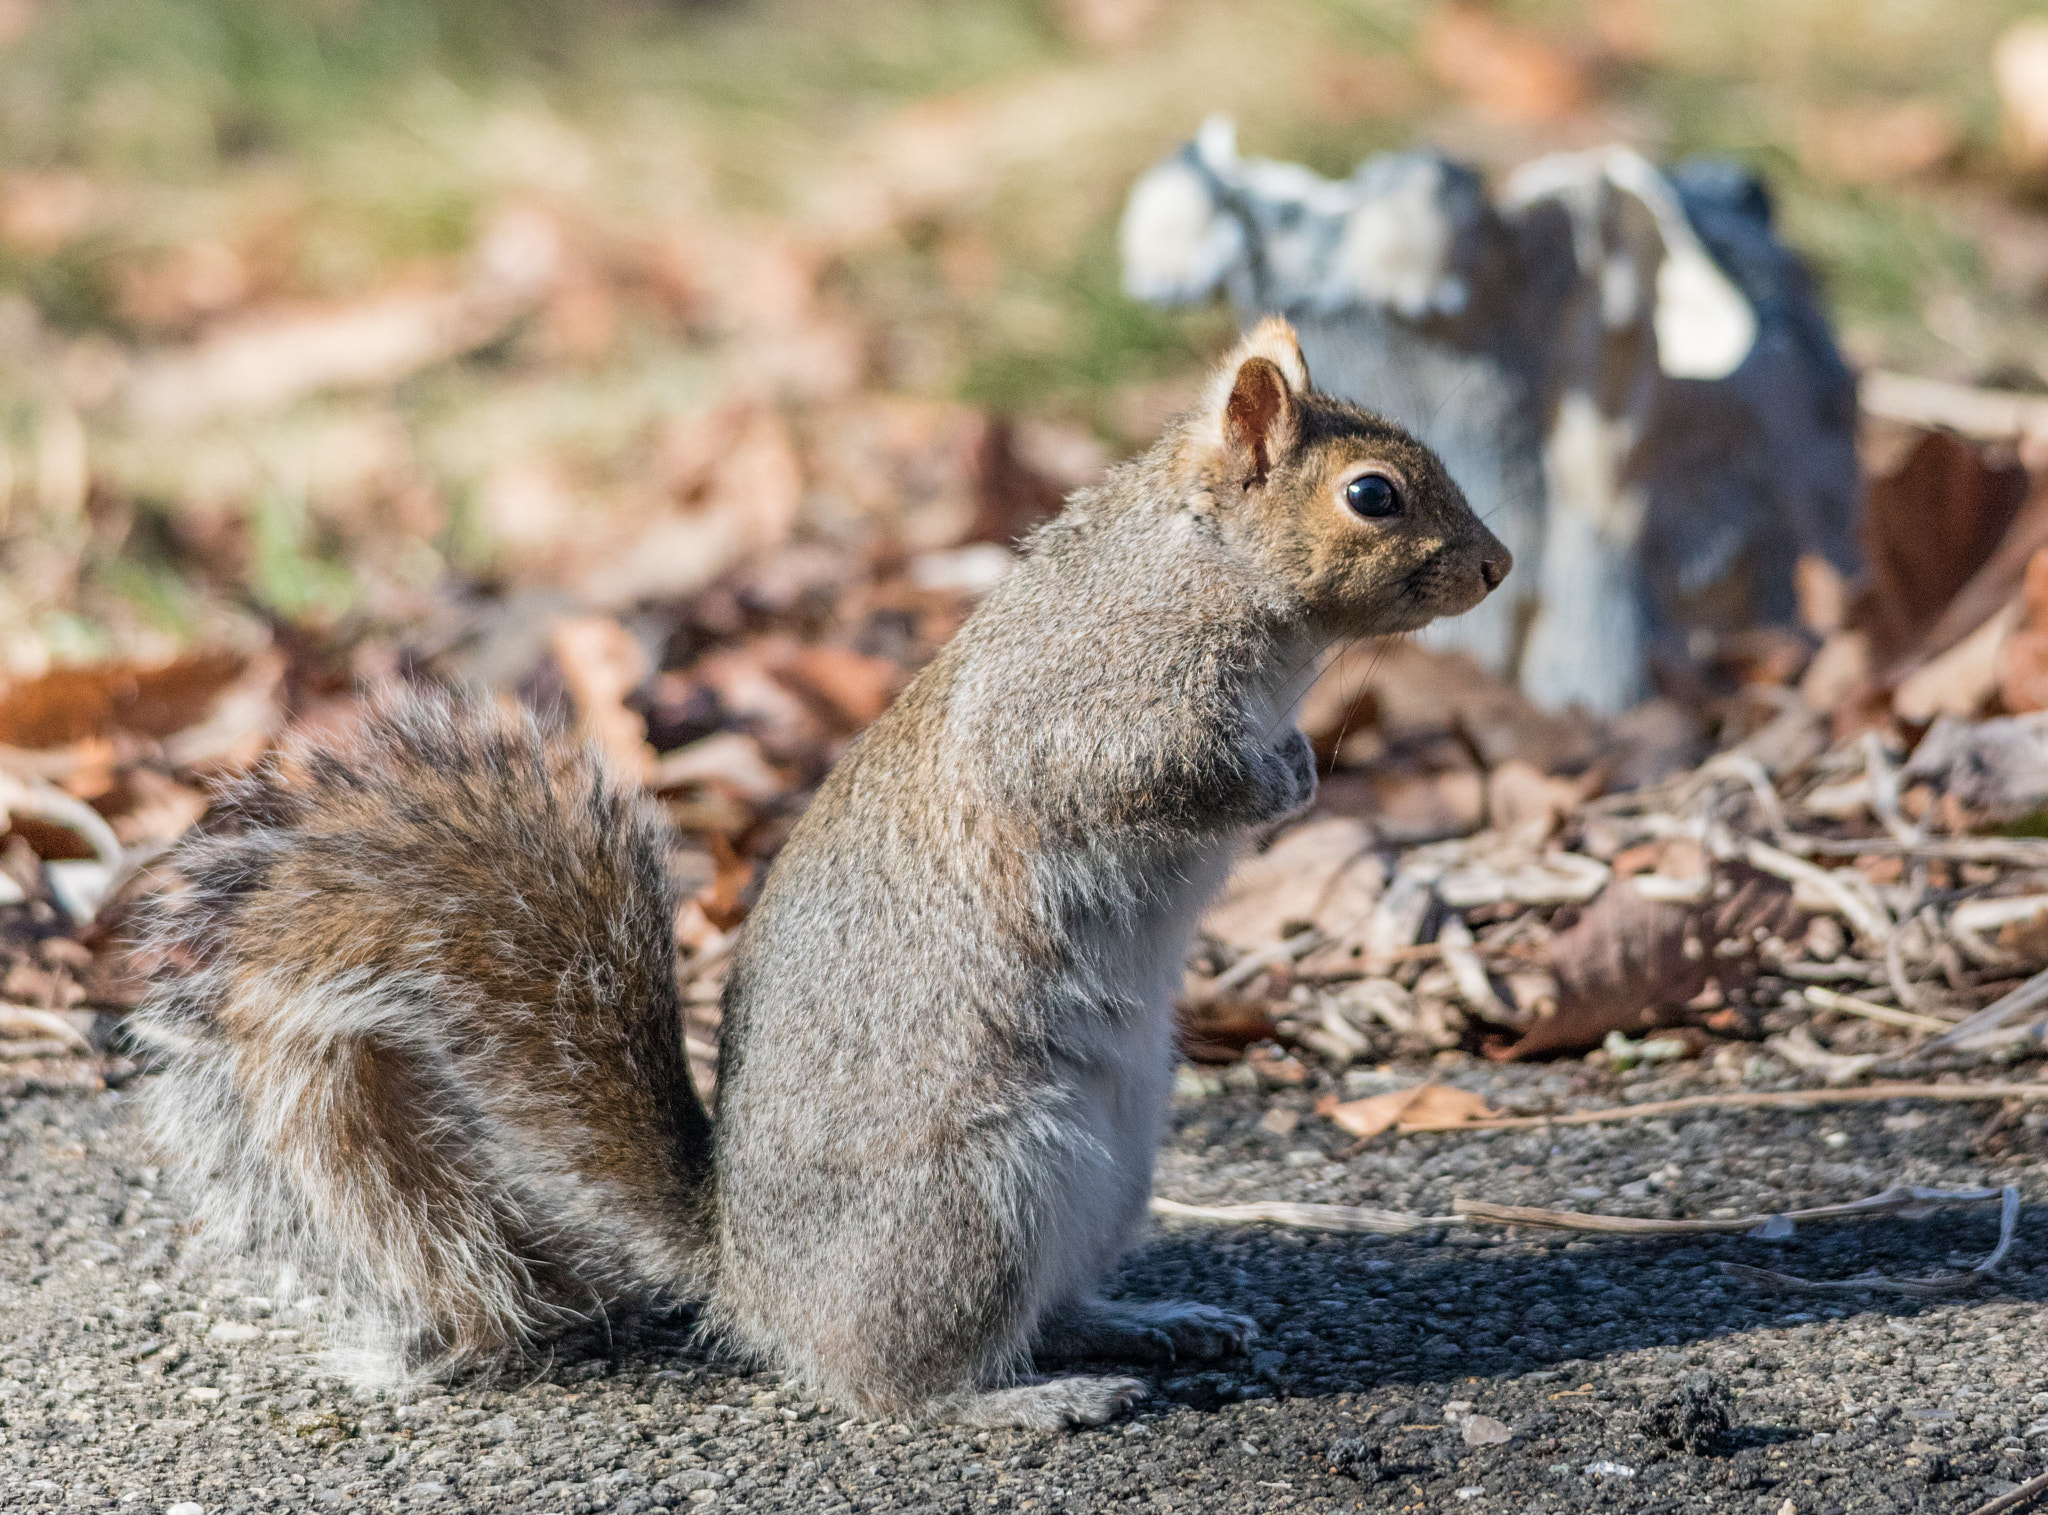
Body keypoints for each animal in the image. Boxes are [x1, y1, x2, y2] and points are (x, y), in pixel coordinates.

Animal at [128, 319, 1507, 1433]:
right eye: (1372, 495)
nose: (1495, 568)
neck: (1199, 570)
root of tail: (747, 1279)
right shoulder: (1087, 705)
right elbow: (1140, 776)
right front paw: (1276, 781)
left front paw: (1301, 763)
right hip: (977, 1194)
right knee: (896, 1380)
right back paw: (1029, 1401)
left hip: (1107, 1167)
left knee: (1039, 1309)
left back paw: (1144, 1323)